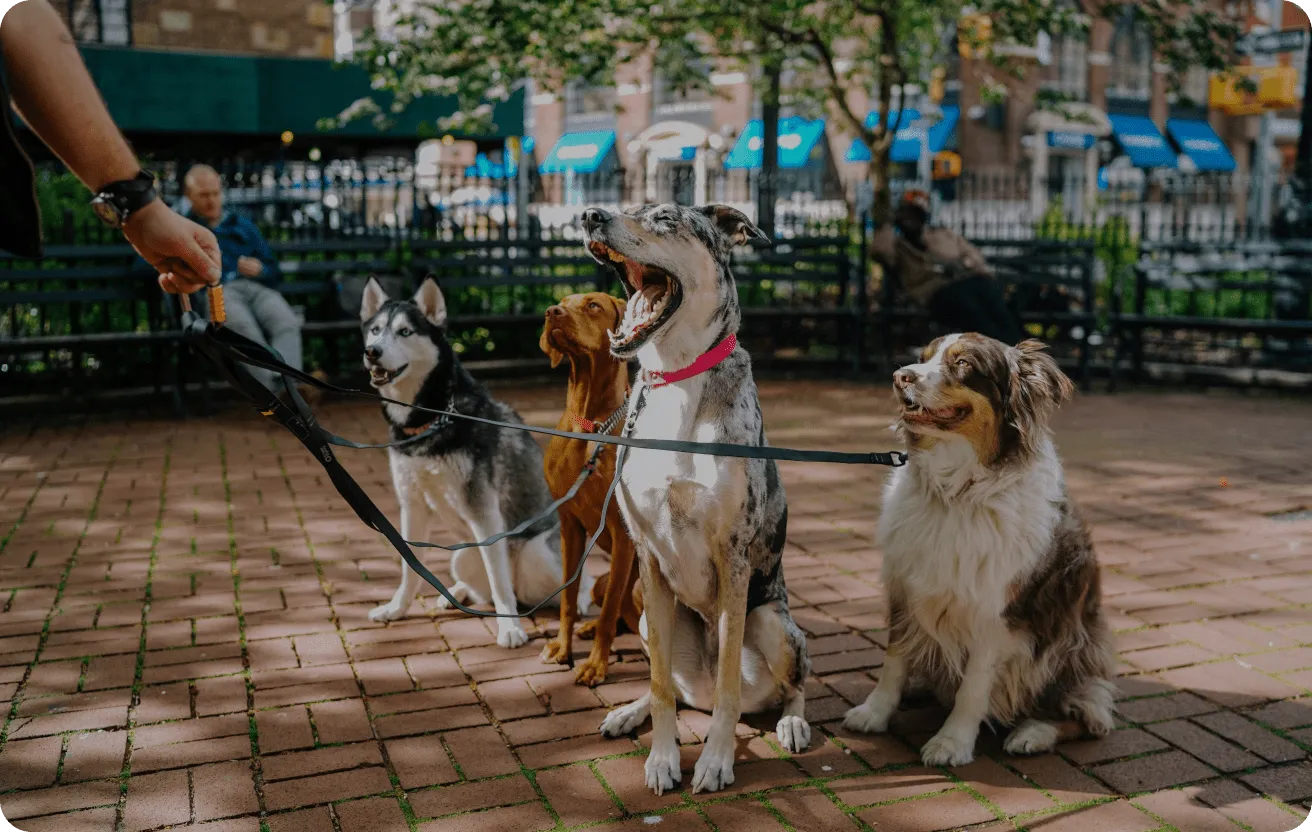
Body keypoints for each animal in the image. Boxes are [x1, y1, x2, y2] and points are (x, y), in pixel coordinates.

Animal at [540, 290, 642, 682]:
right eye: (561, 301)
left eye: (593, 305)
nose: (551, 312)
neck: (590, 426)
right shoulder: (569, 525)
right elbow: (568, 600)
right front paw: (563, 647)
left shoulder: (623, 534)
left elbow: (610, 612)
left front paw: (596, 664)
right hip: (600, 580)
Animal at [582, 204, 808, 792]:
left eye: (664, 217)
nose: (590, 214)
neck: (676, 378)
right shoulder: (647, 556)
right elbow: (661, 686)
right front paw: (663, 758)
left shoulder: (733, 557)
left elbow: (729, 686)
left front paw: (714, 761)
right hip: (644, 617)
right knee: (677, 689)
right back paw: (628, 712)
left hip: (773, 623)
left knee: (791, 685)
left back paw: (793, 723)